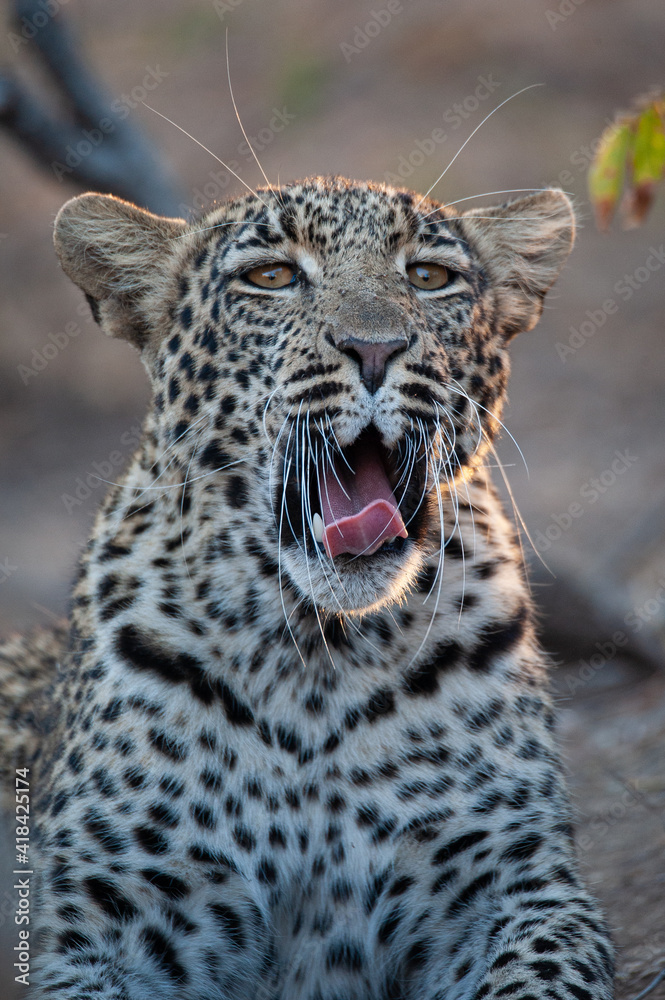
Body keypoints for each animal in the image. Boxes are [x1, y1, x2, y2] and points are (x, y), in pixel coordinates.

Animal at [0, 175, 614, 1000]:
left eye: (428, 276)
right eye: (271, 277)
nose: (375, 349)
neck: (320, 652)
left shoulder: (511, 881)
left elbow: (541, 976)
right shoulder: (106, 923)